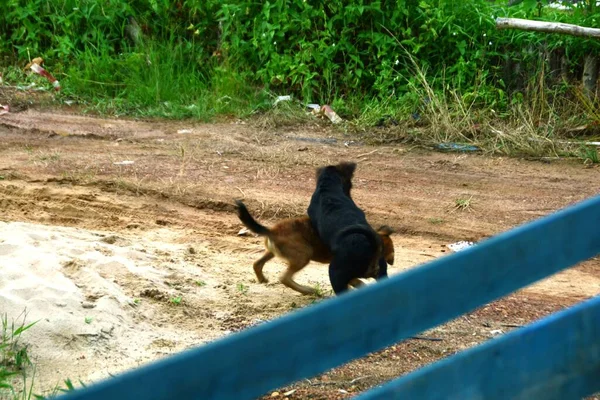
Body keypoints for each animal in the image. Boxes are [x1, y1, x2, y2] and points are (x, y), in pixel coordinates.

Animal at [237, 202, 396, 296]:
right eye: (391, 251)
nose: (392, 262)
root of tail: (272, 231)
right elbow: (356, 282)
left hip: (272, 252)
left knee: (257, 264)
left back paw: (262, 279)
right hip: (304, 255)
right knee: (284, 278)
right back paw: (308, 291)